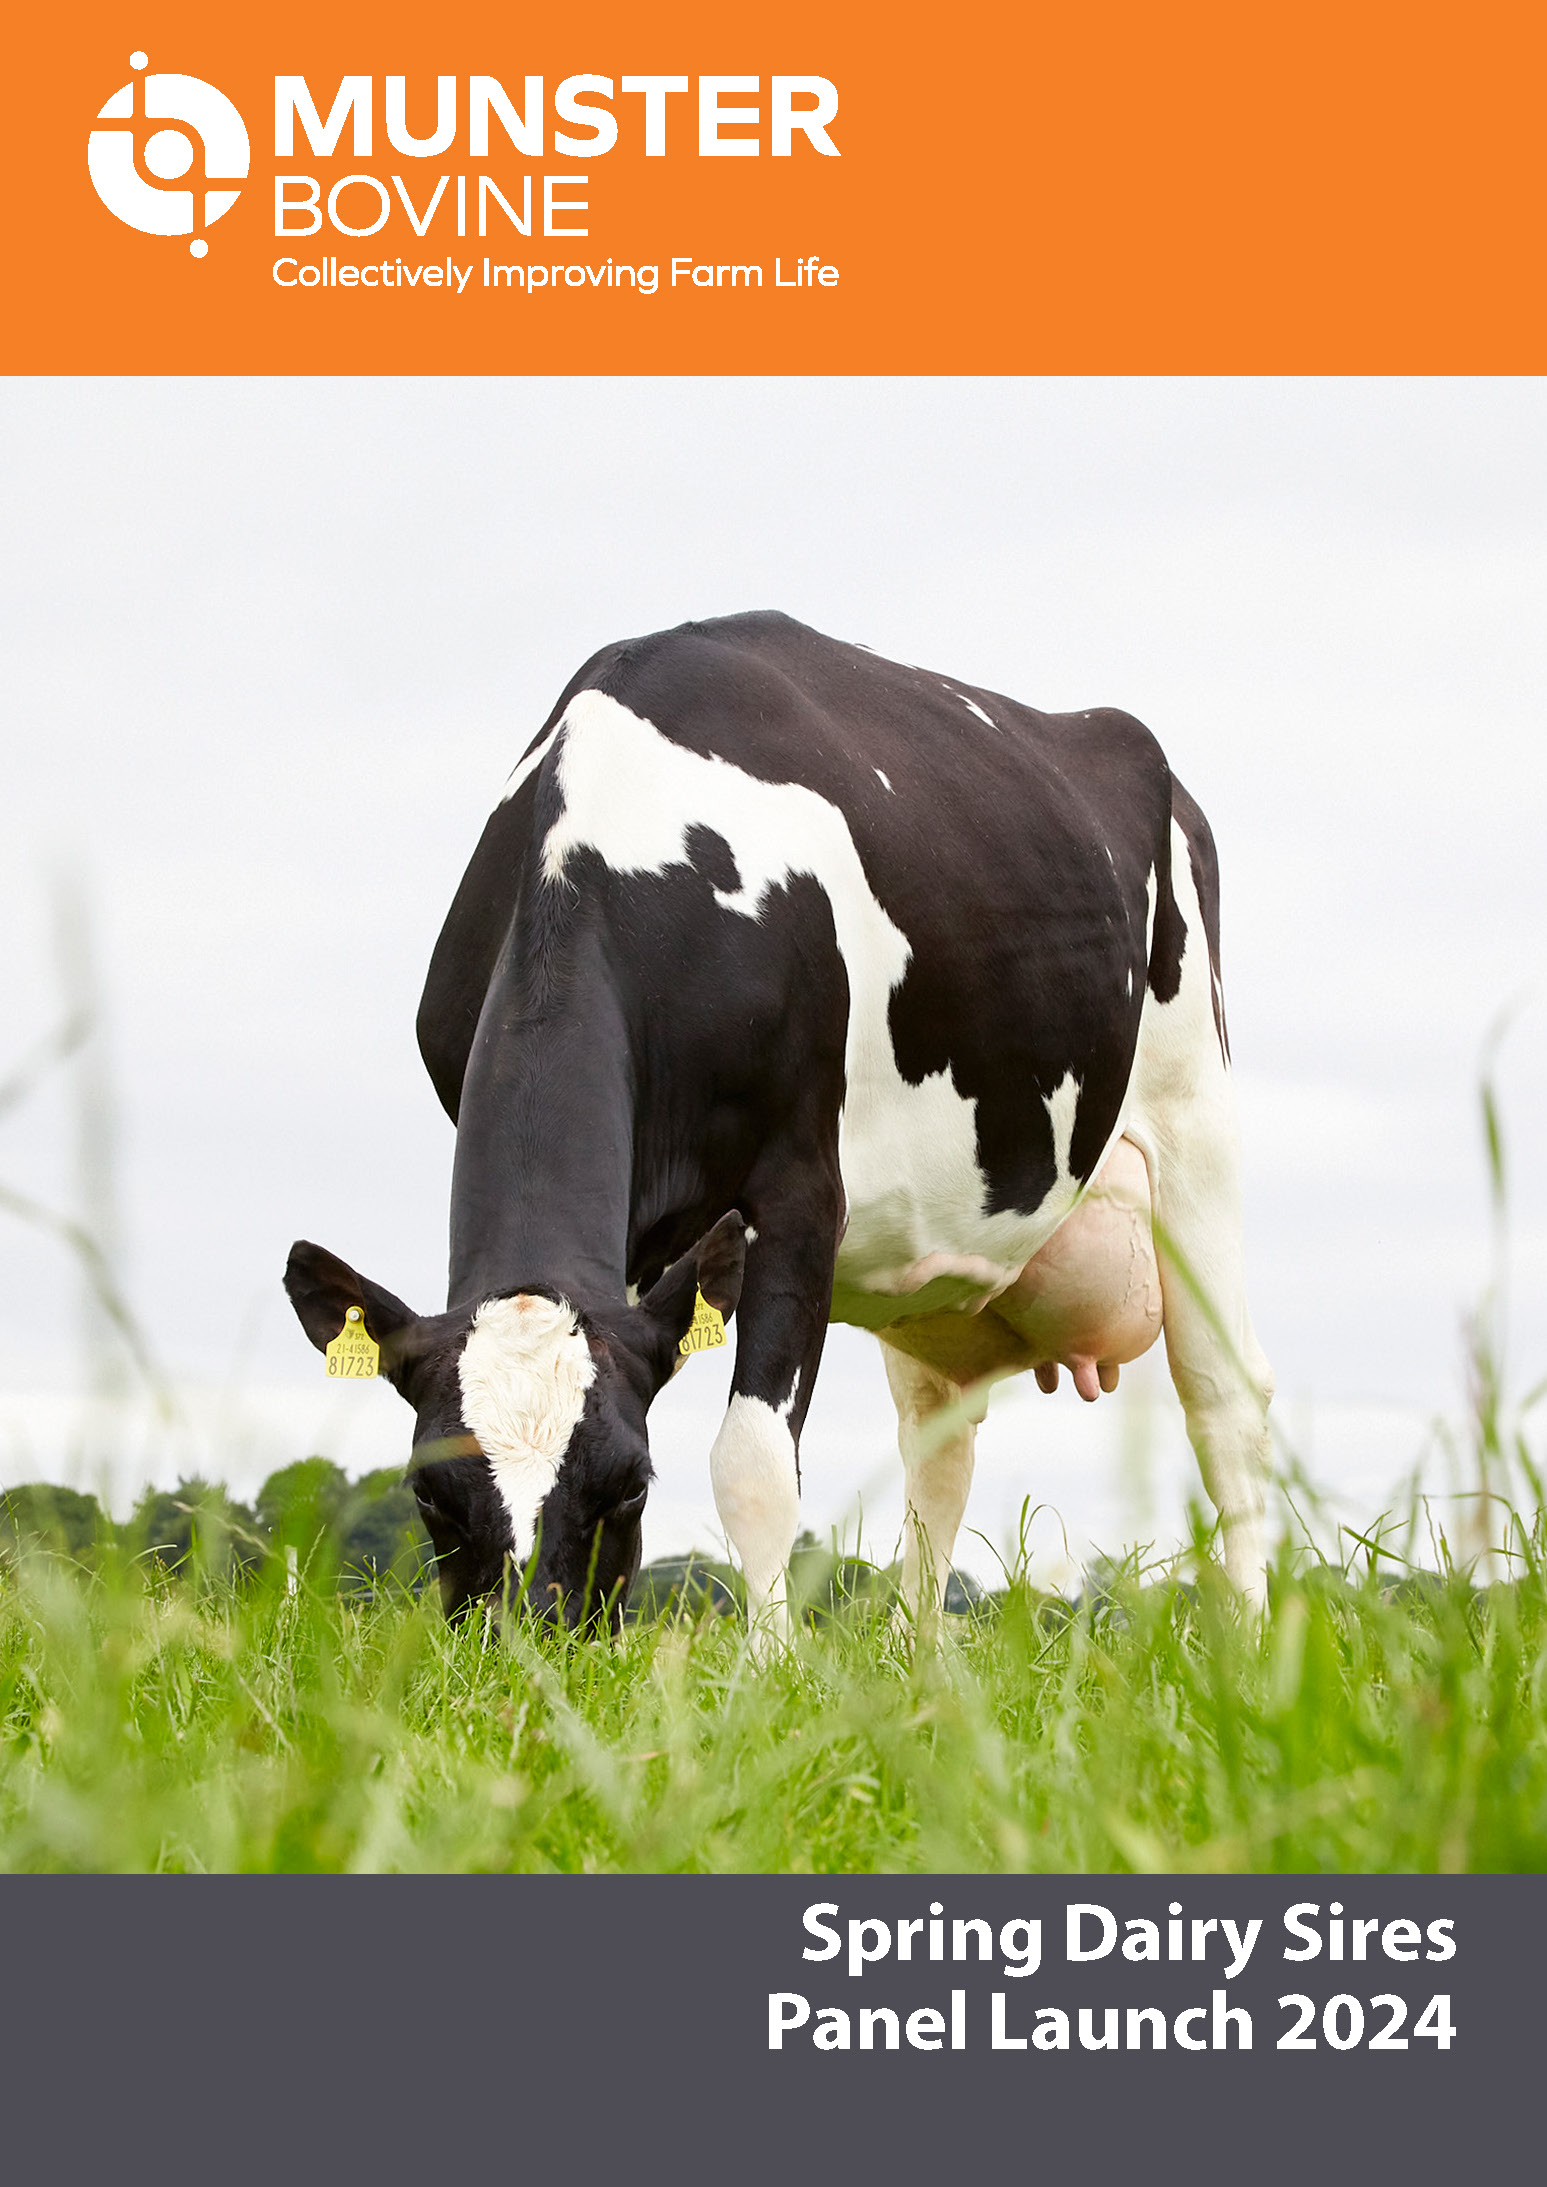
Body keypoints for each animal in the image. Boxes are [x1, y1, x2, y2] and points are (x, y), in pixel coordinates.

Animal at [285, 611, 1274, 1639]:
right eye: (428, 1493)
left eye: (631, 1484)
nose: (525, 1647)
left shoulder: (798, 1187)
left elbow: (753, 1461)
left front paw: (767, 1663)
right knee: (938, 1444)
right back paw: (918, 1657)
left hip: (1195, 1131)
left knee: (1223, 1405)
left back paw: (1248, 1642)